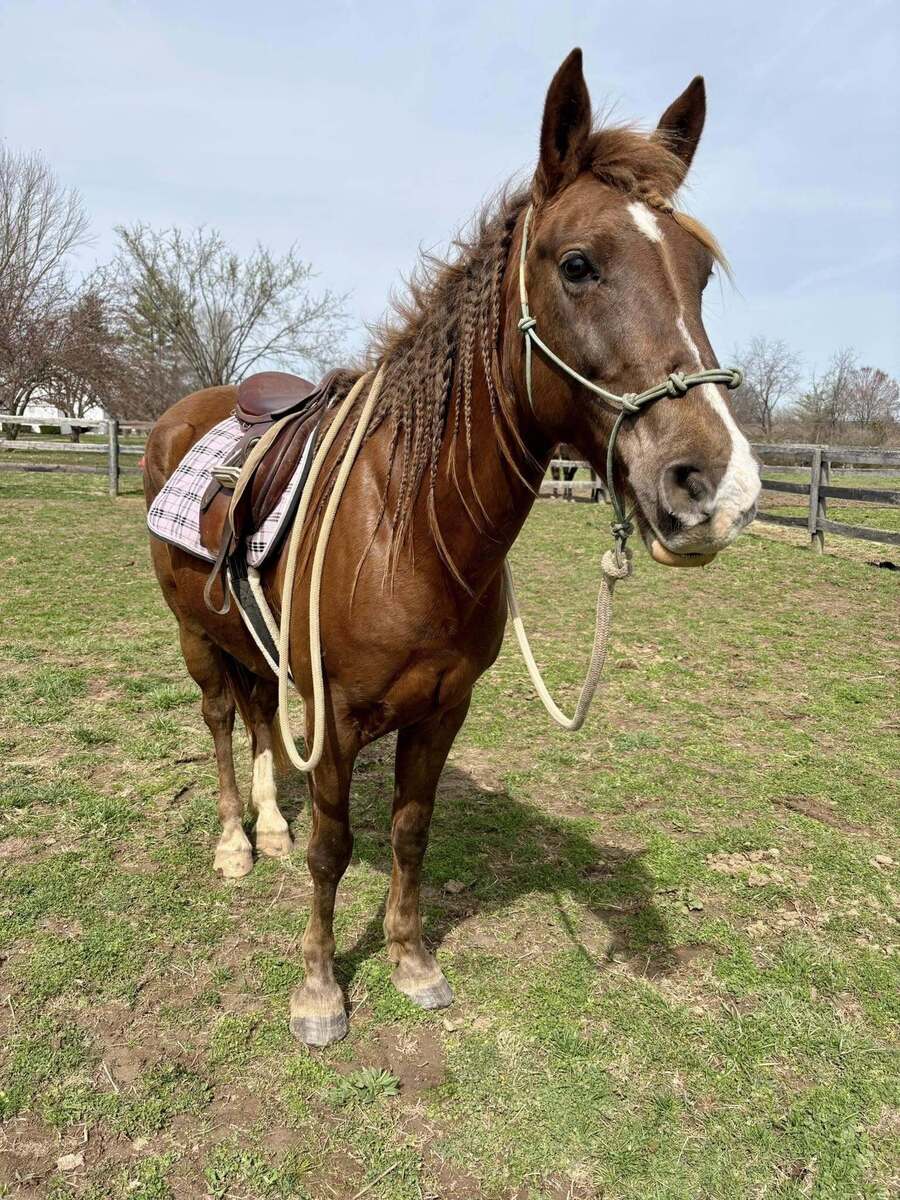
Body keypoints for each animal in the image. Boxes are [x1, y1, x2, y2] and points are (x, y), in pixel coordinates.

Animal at [144, 49, 761, 1046]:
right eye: (578, 264)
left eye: (701, 274)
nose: (715, 487)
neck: (411, 529)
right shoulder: (341, 716)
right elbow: (334, 848)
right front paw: (320, 990)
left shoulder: (442, 712)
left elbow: (409, 832)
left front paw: (410, 962)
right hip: (195, 640)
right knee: (218, 722)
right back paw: (238, 844)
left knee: (261, 719)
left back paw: (267, 828)